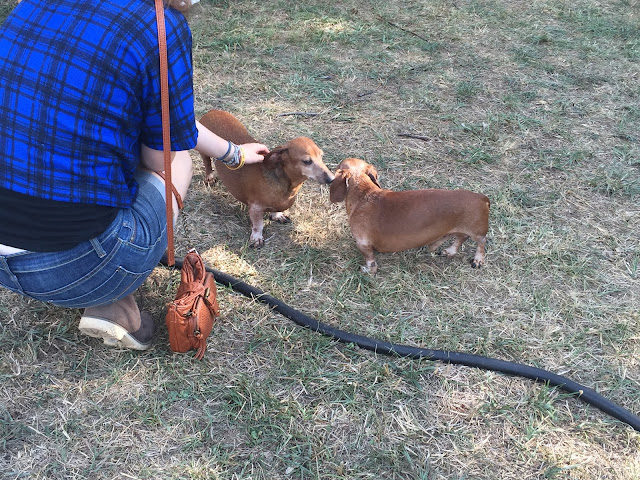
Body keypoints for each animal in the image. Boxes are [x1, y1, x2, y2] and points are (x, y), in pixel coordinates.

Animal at [199, 110, 335, 248]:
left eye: (321, 156)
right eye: (307, 161)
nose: (332, 178)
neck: (287, 185)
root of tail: (212, 111)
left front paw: (277, 215)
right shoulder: (255, 208)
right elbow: (258, 225)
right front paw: (256, 238)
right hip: (204, 152)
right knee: (207, 163)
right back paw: (209, 177)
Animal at [329, 158, 490, 274]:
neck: (365, 194)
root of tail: (482, 198)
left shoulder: (363, 243)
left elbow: (371, 263)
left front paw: (367, 270)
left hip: (476, 232)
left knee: (481, 241)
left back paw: (478, 259)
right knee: (461, 237)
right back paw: (449, 251)